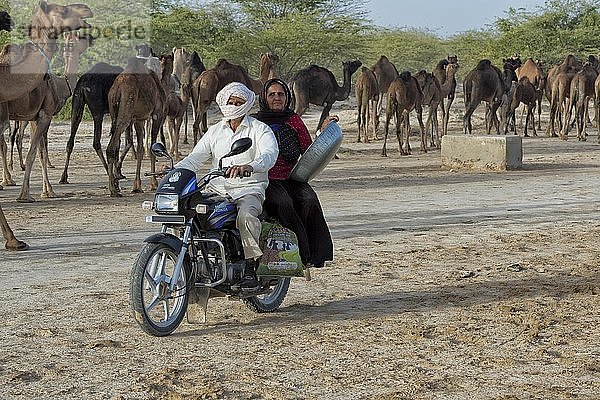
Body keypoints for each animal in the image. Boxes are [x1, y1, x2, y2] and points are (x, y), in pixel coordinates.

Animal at [0, 0, 92, 250]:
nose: (87, 10)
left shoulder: (34, 117)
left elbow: (40, 151)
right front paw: (27, 195)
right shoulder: (44, 115)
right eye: (62, 10)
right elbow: (36, 152)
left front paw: (47, 191)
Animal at [106, 57, 165, 198]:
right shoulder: (157, 114)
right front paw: (154, 184)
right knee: (111, 147)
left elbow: (140, 150)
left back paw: (116, 187)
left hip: (114, 112)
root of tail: (117, 89)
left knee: (115, 145)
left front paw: (137, 186)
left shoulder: (139, 119)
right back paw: (113, 190)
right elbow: (152, 148)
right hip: (126, 113)